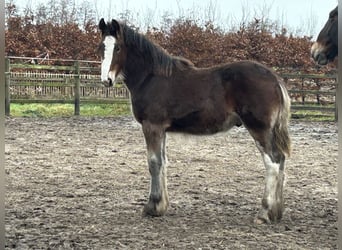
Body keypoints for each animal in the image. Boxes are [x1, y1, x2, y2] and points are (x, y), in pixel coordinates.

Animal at [97, 18, 292, 224]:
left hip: (259, 129)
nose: (106, 80)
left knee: (273, 162)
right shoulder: (162, 129)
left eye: (117, 48)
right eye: (101, 47)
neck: (151, 77)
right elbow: (163, 162)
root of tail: (274, 78)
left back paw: (264, 213)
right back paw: (276, 212)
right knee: (281, 160)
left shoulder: (152, 126)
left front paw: (152, 207)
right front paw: (162, 206)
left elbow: (154, 163)